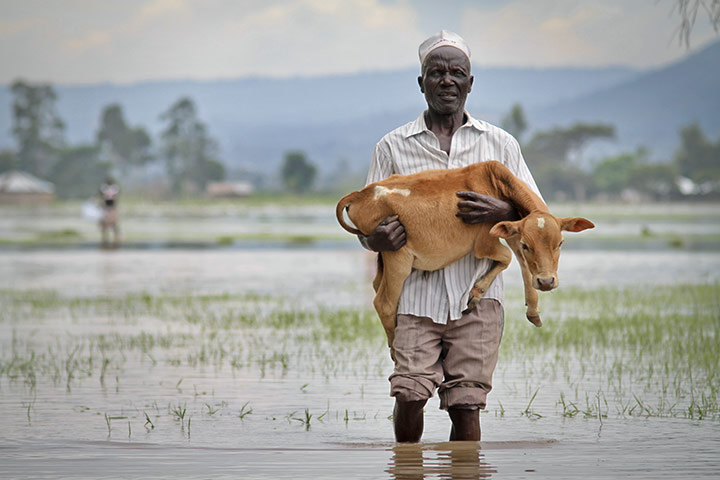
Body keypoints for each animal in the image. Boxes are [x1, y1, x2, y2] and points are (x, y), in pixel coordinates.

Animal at [336, 160, 594, 354]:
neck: (496, 183)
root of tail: (358, 194)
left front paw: (533, 309)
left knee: (376, 285)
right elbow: (508, 258)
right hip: (397, 256)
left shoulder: (511, 229)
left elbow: (522, 264)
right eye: (526, 244)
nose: (547, 281)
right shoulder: (485, 243)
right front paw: (476, 293)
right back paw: (394, 348)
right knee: (384, 303)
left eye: (560, 243)